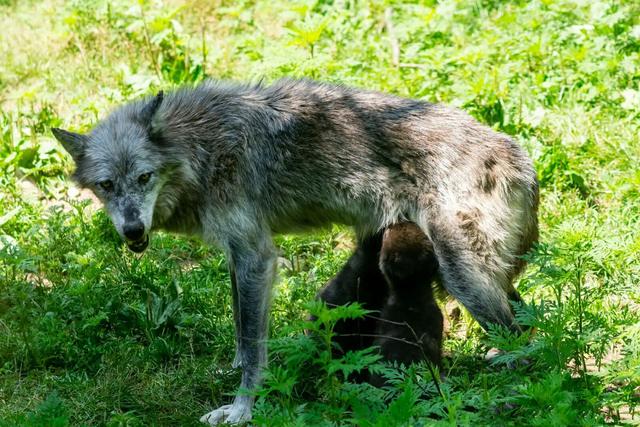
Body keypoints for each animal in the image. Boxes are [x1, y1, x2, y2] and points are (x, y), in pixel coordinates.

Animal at [52, 78, 536, 426]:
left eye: (145, 178)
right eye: (106, 185)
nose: (133, 229)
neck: (198, 148)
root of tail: (520, 158)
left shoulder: (257, 257)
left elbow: (253, 344)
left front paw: (243, 409)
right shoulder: (239, 256)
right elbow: (242, 330)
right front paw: (231, 371)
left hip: (462, 279)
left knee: (526, 346)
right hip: (482, 278)